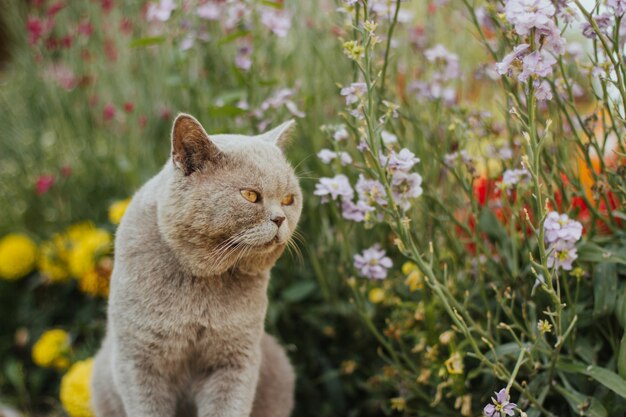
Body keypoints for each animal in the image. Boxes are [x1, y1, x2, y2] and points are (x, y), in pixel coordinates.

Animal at [89, 113, 300, 416]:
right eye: (250, 195)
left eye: (288, 199)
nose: (280, 218)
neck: (201, 282)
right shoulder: (138, 361)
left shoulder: (236, 359)